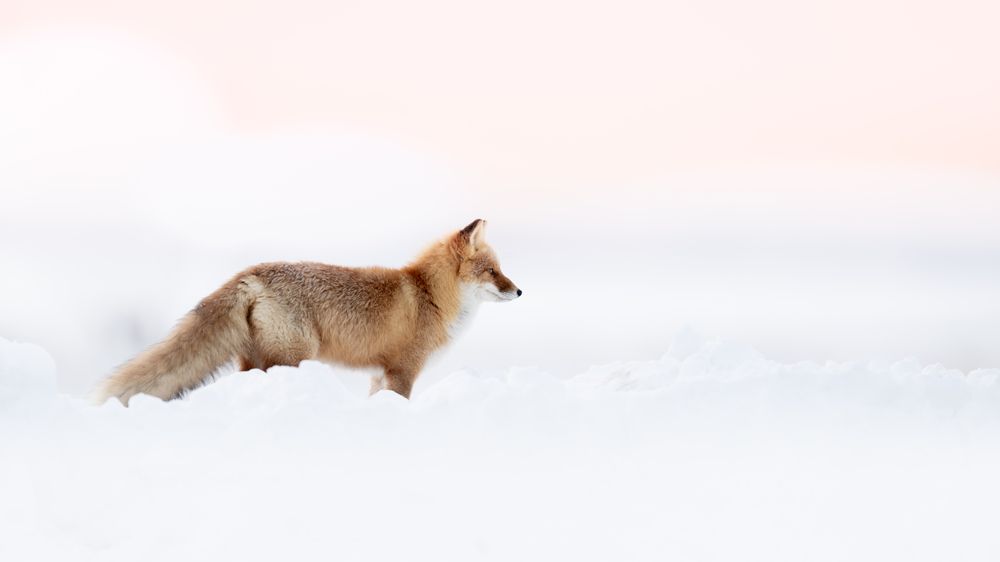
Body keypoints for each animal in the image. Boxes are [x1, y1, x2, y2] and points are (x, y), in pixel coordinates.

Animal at [97, 219, 521, 405]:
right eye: (492, 271)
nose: (519, 290)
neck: (429, 295)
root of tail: (251, 273)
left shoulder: (380, 373)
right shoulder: (403, 369)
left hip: (254, 360)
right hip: (293, 356)